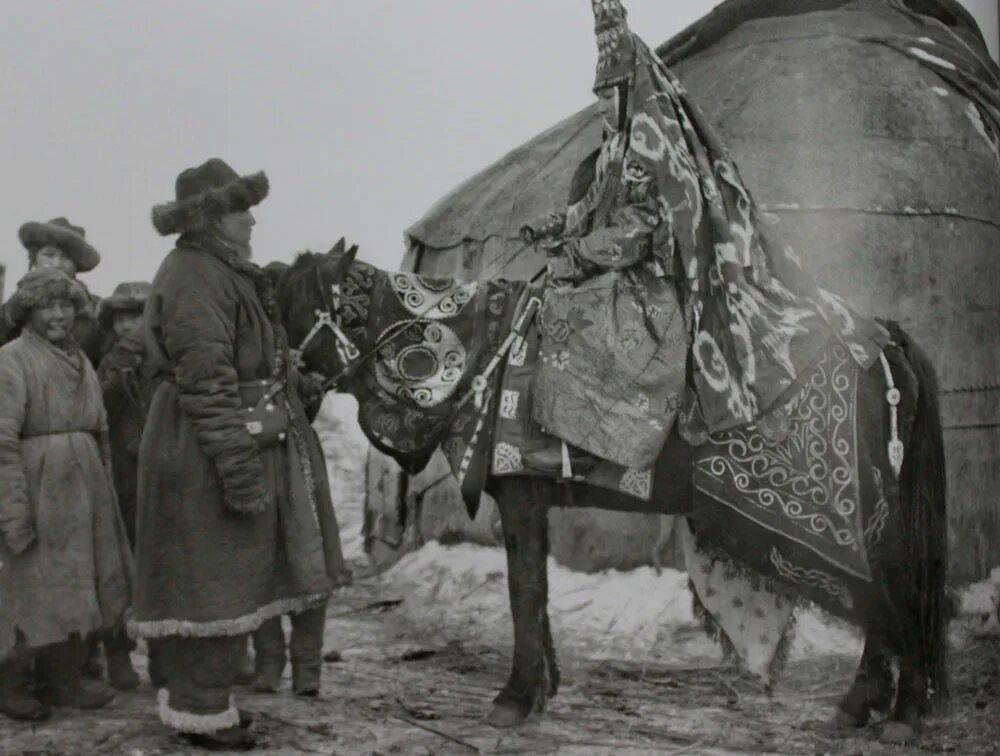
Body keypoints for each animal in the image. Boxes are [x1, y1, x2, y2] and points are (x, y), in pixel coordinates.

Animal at [278, 242, 948, 732]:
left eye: (283, 306)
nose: (285, 393)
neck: (484, 350)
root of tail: (884, 340)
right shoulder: (533, 499)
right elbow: (536, 590)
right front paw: (541, 688)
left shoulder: (520, 496)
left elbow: (524, 590)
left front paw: (515, 698)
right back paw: (866, 706)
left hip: (863, 519)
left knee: (897, 592)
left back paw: (899, 711)